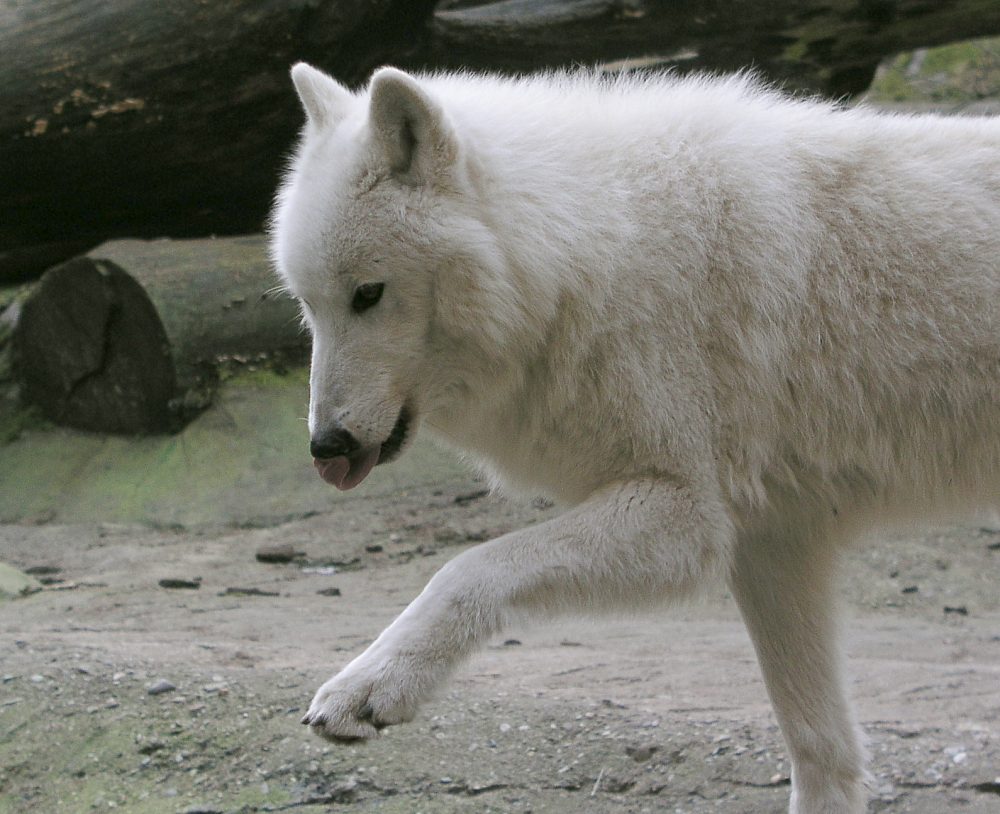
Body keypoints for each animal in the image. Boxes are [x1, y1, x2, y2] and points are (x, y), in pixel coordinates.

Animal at [270, 60, 1000, 812]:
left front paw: (373, 682)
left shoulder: (688, 518)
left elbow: (467, 568)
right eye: (308, 304)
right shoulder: (770, 541)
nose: (324, 446)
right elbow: (819, 745)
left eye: (368, 294)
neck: (592, 251)